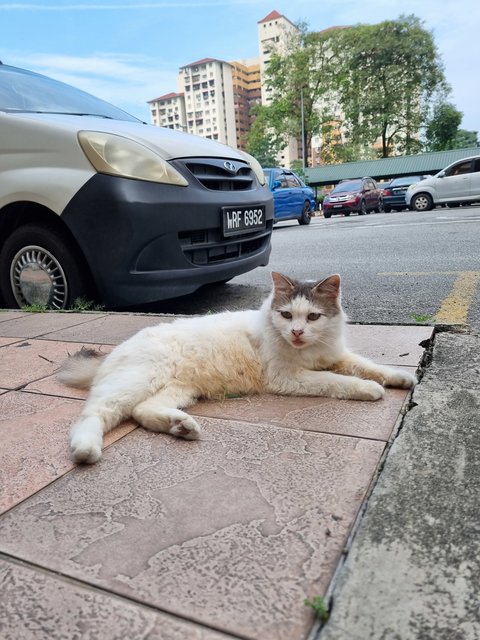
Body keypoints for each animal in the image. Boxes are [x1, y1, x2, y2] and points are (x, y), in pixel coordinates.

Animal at [59, 272, 416, 464]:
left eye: (313, 317)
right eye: (287, 315)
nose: (297, 333)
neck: (308, 351)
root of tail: (113, 352)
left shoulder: (337, 356)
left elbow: (368, 365)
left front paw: (402, 378)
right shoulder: (289, 378)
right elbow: (335, 381)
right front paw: (369, 390)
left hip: (179, 389)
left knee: (142, 412)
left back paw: (182, 427)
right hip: (135, 383)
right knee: (92, 415)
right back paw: (86, 449)